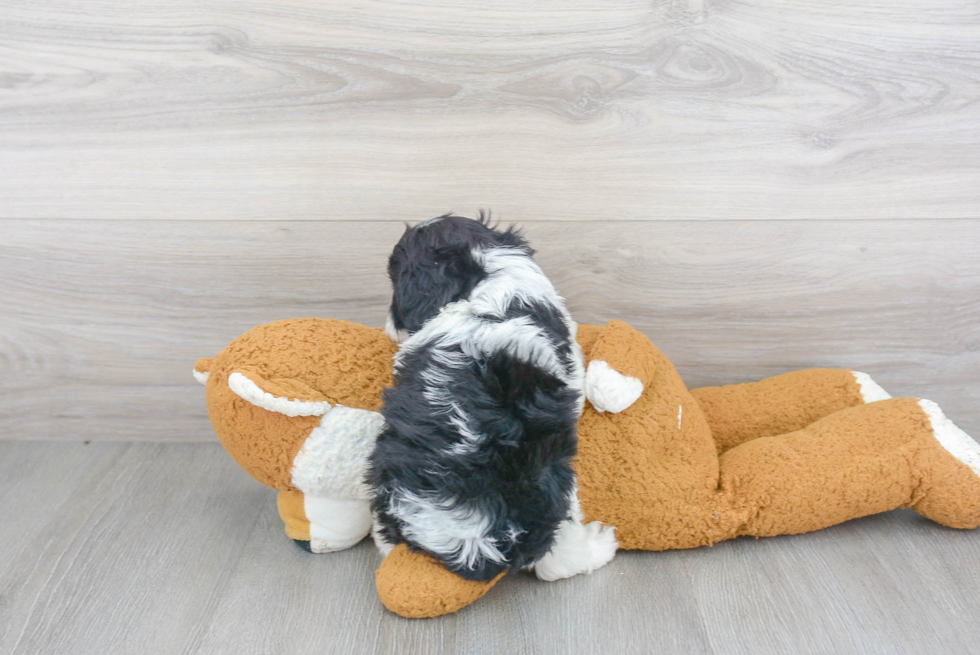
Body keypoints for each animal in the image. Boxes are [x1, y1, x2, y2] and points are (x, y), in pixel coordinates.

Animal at [368, 215, 612, 584]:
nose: (390, 326)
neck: (482, 274)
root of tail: (476, 535)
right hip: (554, 479)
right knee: (556, 561)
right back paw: (600, 545)